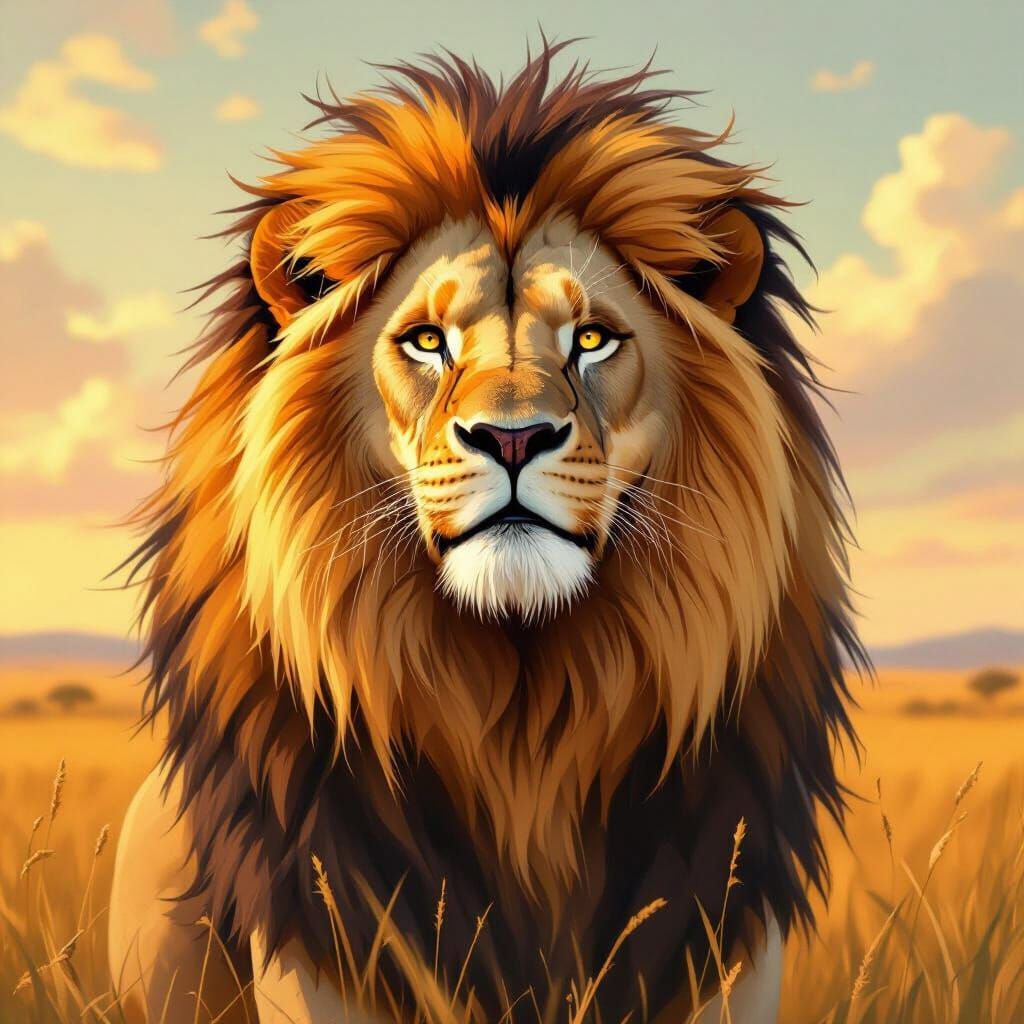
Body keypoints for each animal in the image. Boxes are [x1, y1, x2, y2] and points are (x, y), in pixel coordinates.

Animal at [109, 42, 864, 1024]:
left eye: (593, 339)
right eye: (427, 341)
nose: (512, 438)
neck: (521, 711)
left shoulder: (719, 937)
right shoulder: (331, 939)